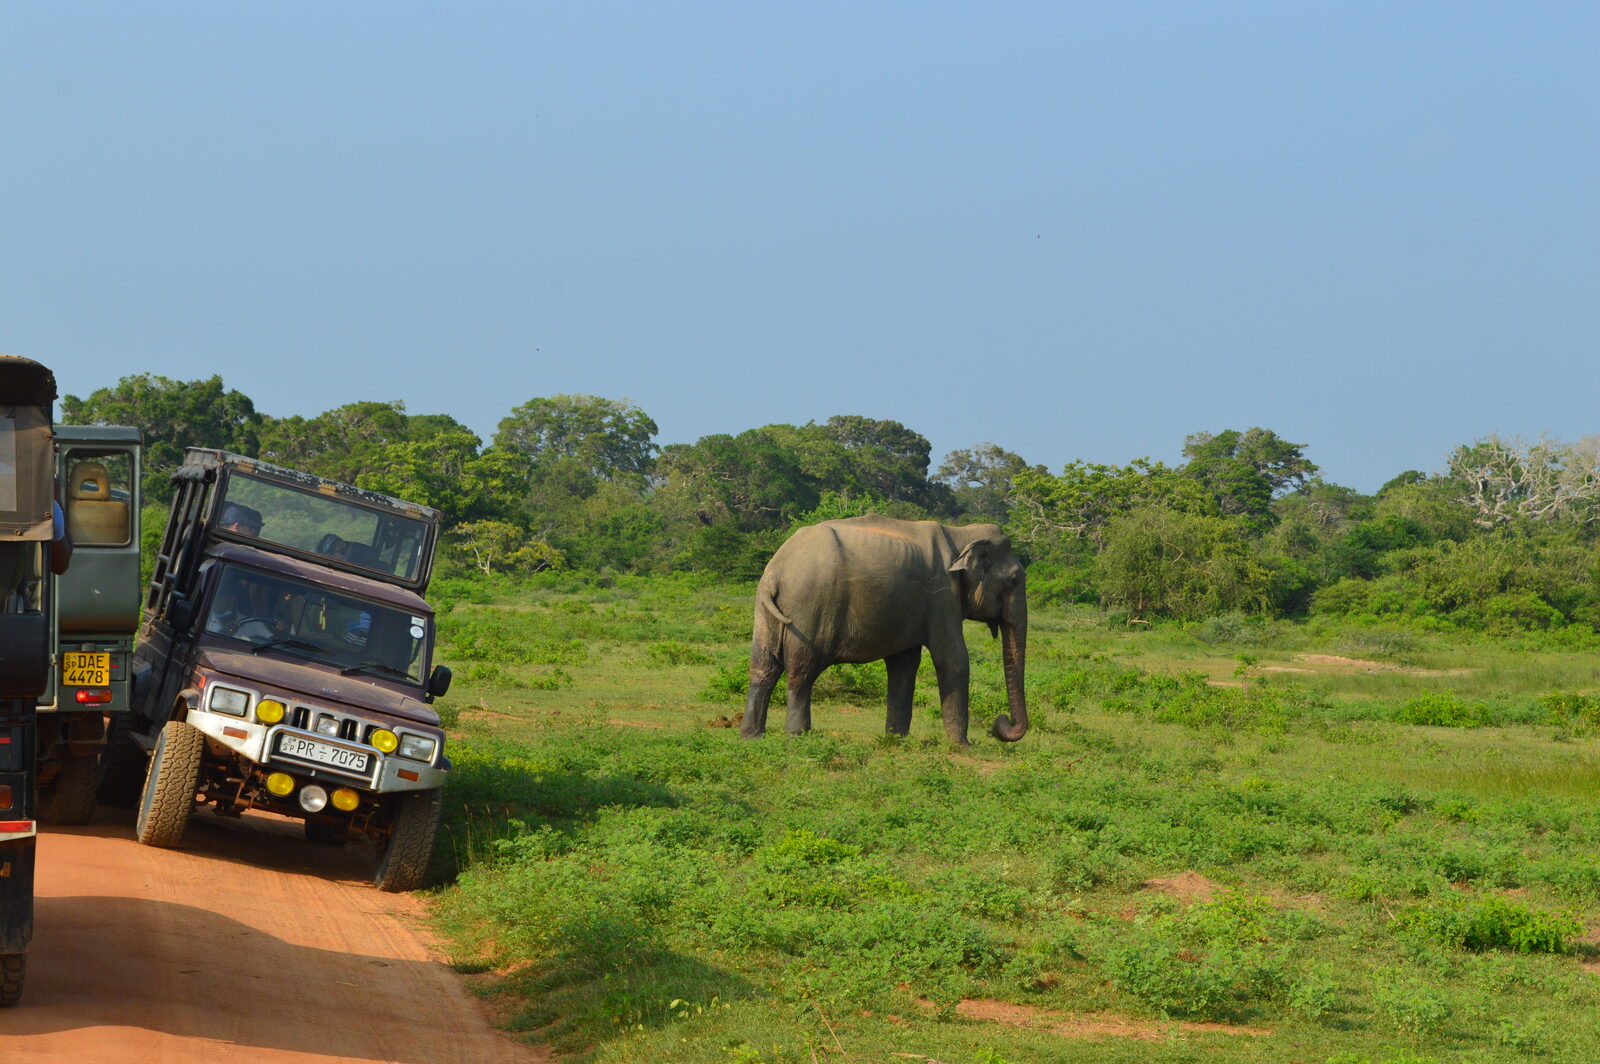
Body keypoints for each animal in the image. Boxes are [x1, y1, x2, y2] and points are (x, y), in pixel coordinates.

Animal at [742, 514, 1029, 745]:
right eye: (1014, 580)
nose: (1000, 723)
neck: (961, 534)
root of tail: (776, 572)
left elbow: (904, 664)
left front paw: (896, 739)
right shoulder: (943, 595)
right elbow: (953, 658)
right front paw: (963, 747)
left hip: (765, 612)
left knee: (762, 668)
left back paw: (752, 737)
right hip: (809, 610)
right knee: (801, 672)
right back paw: (798, 737)